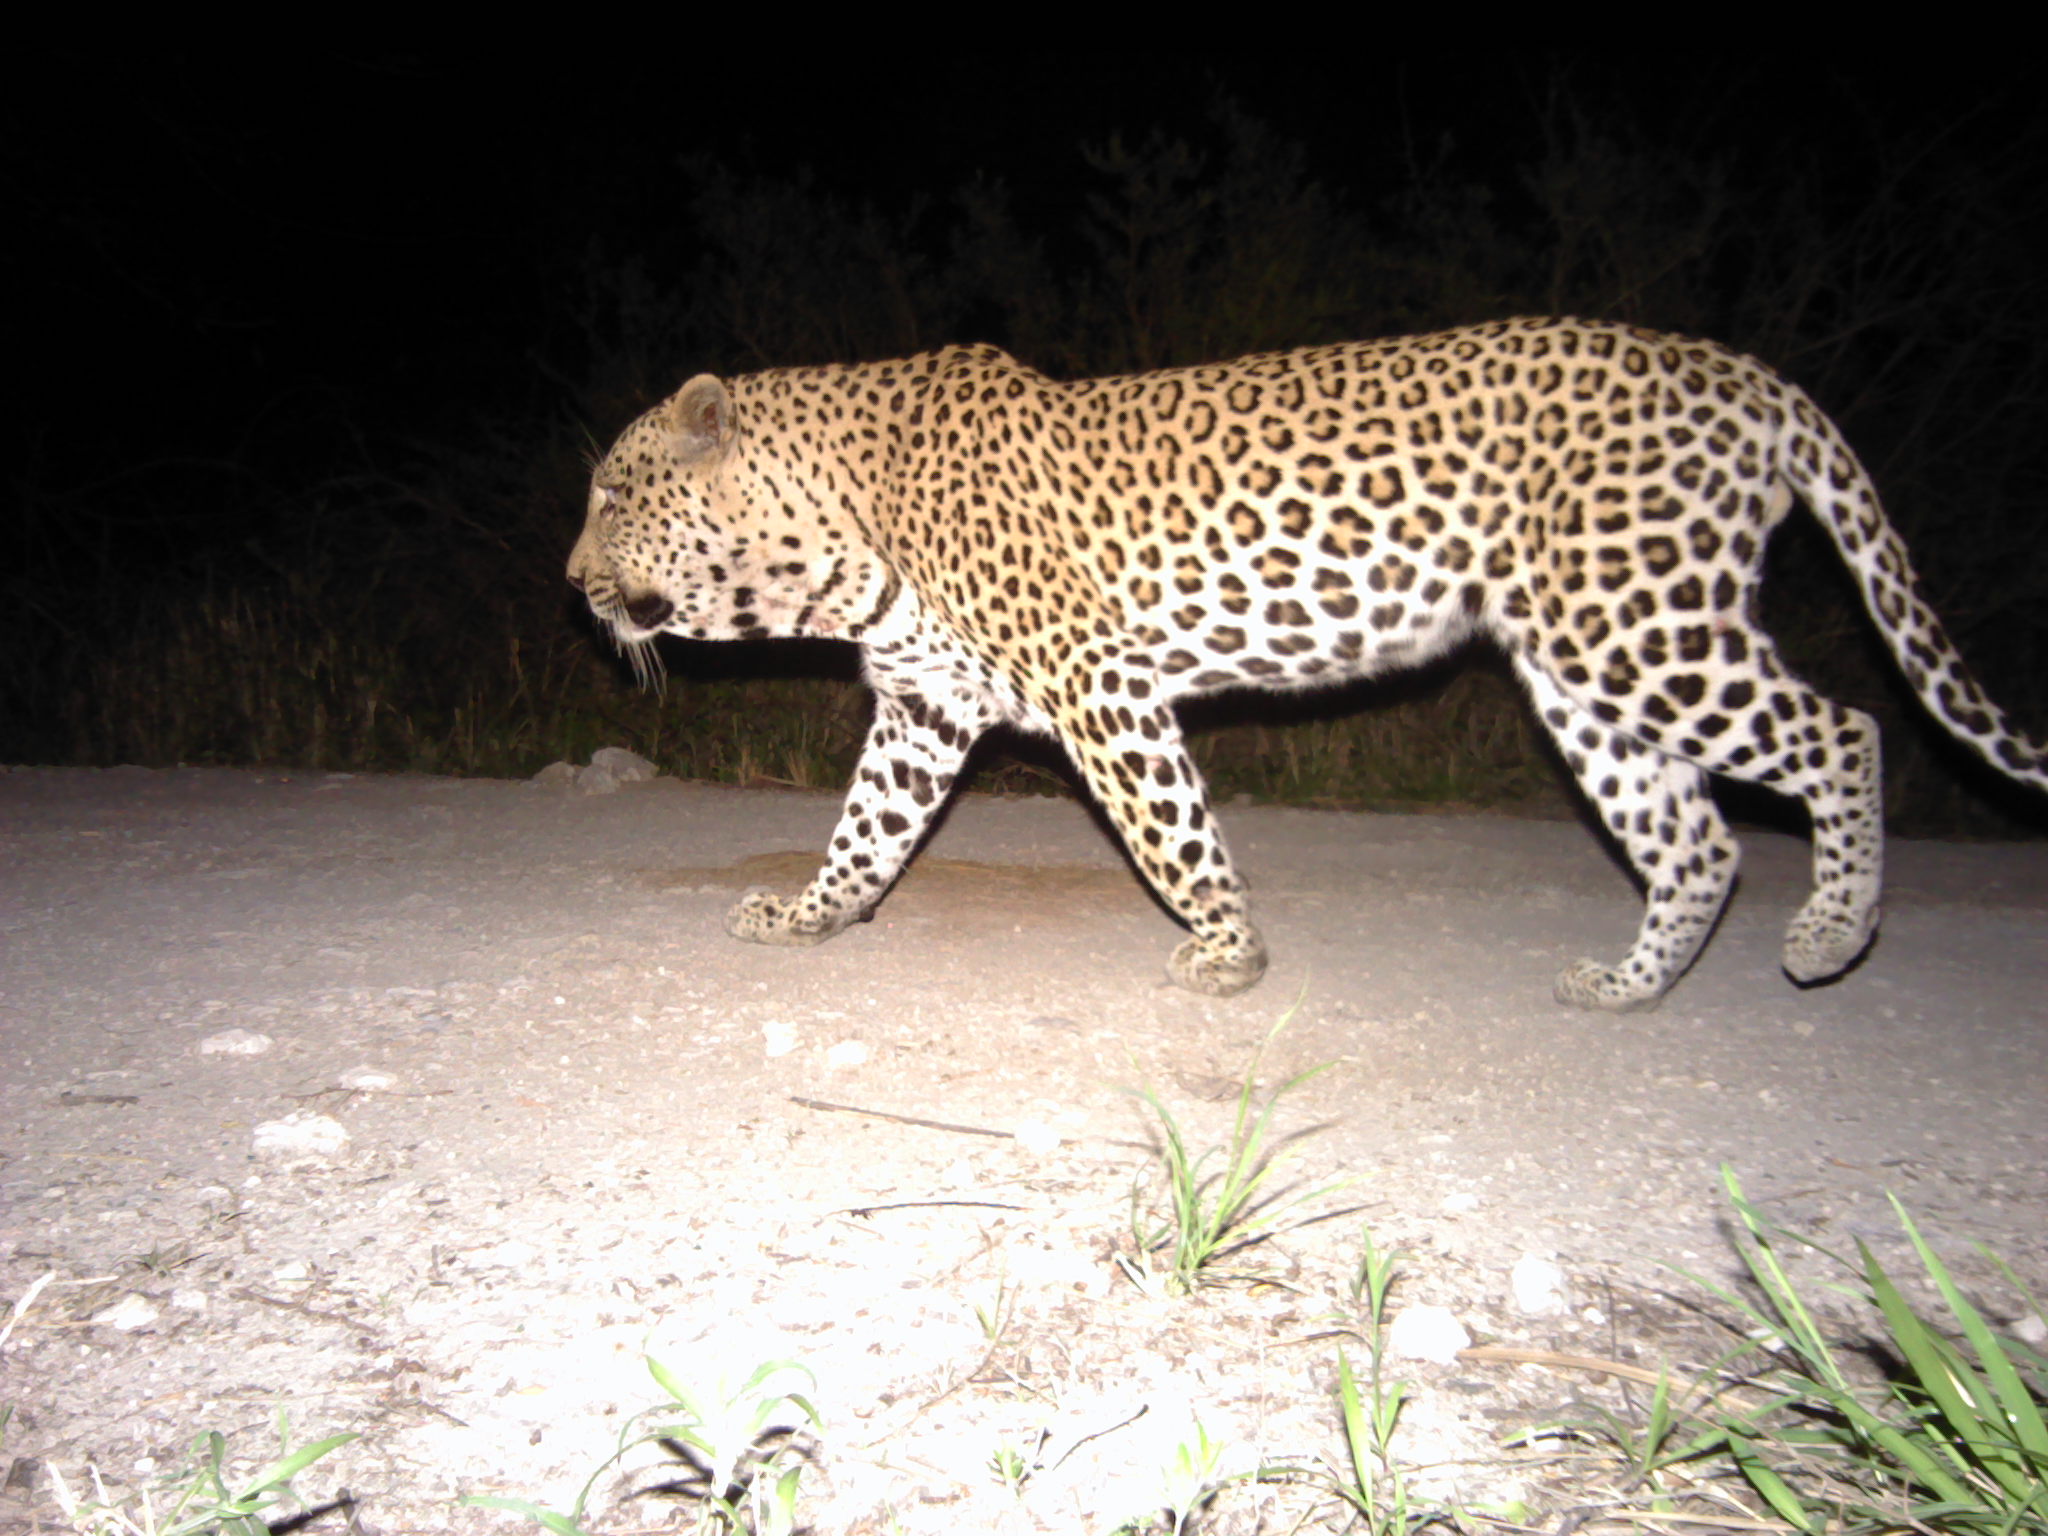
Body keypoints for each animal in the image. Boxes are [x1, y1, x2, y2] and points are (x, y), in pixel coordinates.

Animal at [567, 317, 2047, 1011]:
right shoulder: (927, 707)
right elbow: (864, 833)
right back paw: (1627, 988)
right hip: (1581, 673)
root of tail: (1738, 372)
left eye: (611, 495)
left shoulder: (1099, 684)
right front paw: (810, 919)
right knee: (1696, 840)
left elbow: (1170, 831)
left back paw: (1831, 932)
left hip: (1637, 624)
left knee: (1846, 734)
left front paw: (1229, 953)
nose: (572, 583)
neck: (832, 545)